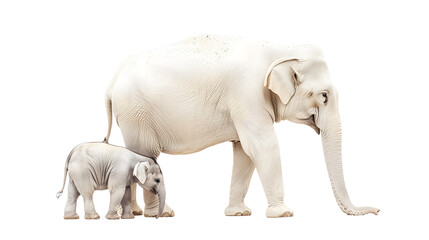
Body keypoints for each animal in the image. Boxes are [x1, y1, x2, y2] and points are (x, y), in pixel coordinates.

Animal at [103, 35, 378, 218]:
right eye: (323, 96)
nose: (376, 210)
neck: (281, 49)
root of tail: (112, 82)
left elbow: (244, 152)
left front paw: (239, 213)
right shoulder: (247, 95)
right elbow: (263, 146)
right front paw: (284, 213)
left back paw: (136, 213)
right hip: (137, 112)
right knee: (147, 155)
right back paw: (161, 214)